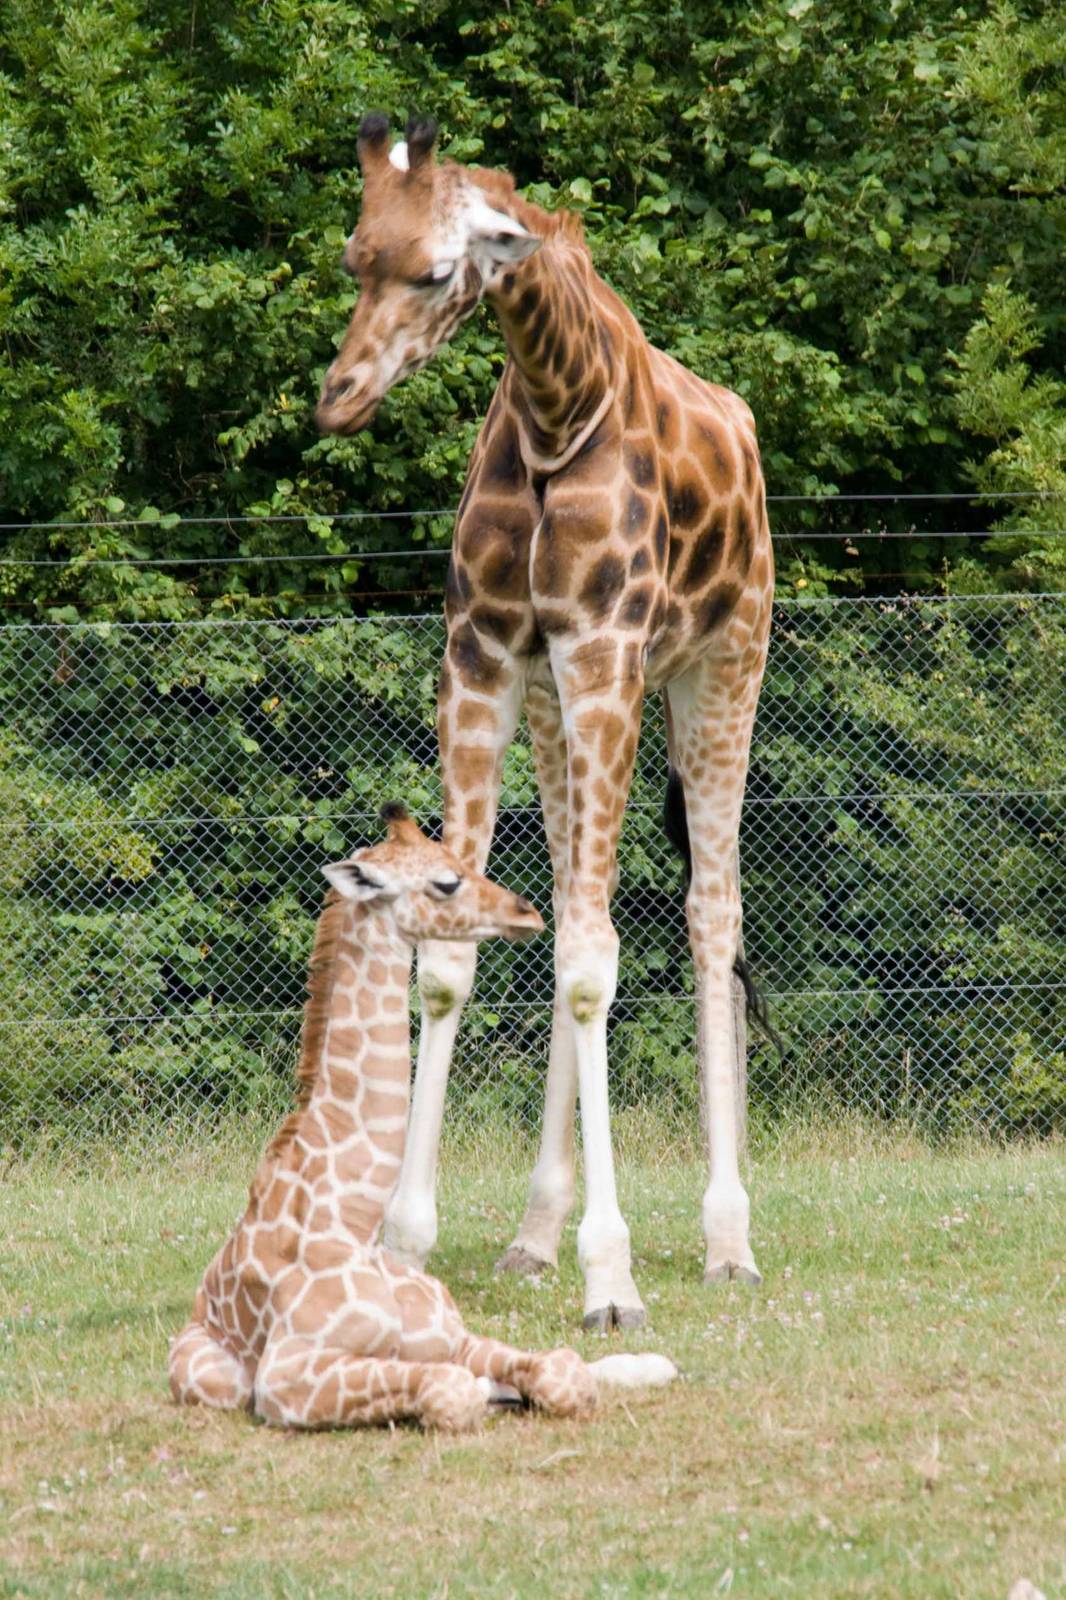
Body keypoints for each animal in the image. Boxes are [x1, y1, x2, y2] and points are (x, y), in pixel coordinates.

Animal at [170, 805, 675, 1428]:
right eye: (447, 881)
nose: (526, 912)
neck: (353, 1216)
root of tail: (199, 1303)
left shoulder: (451, 1334)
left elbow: (564, 1373)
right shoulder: (288, 1376)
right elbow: (452, 1391)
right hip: (206, 1374)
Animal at [315, 115, 775, 1331]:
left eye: (435, 272)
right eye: (355, 257)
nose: (339, 394)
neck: (557, 405)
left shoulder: (605, 653)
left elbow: (591, 962)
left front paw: (612, 1276)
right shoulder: (485, 657)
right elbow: (455, 951)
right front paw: (406, 1242)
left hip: (722, 667)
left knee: (710, 919)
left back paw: (728, 1240)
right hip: (560, 714)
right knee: (580, 903)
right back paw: (533, 1235)